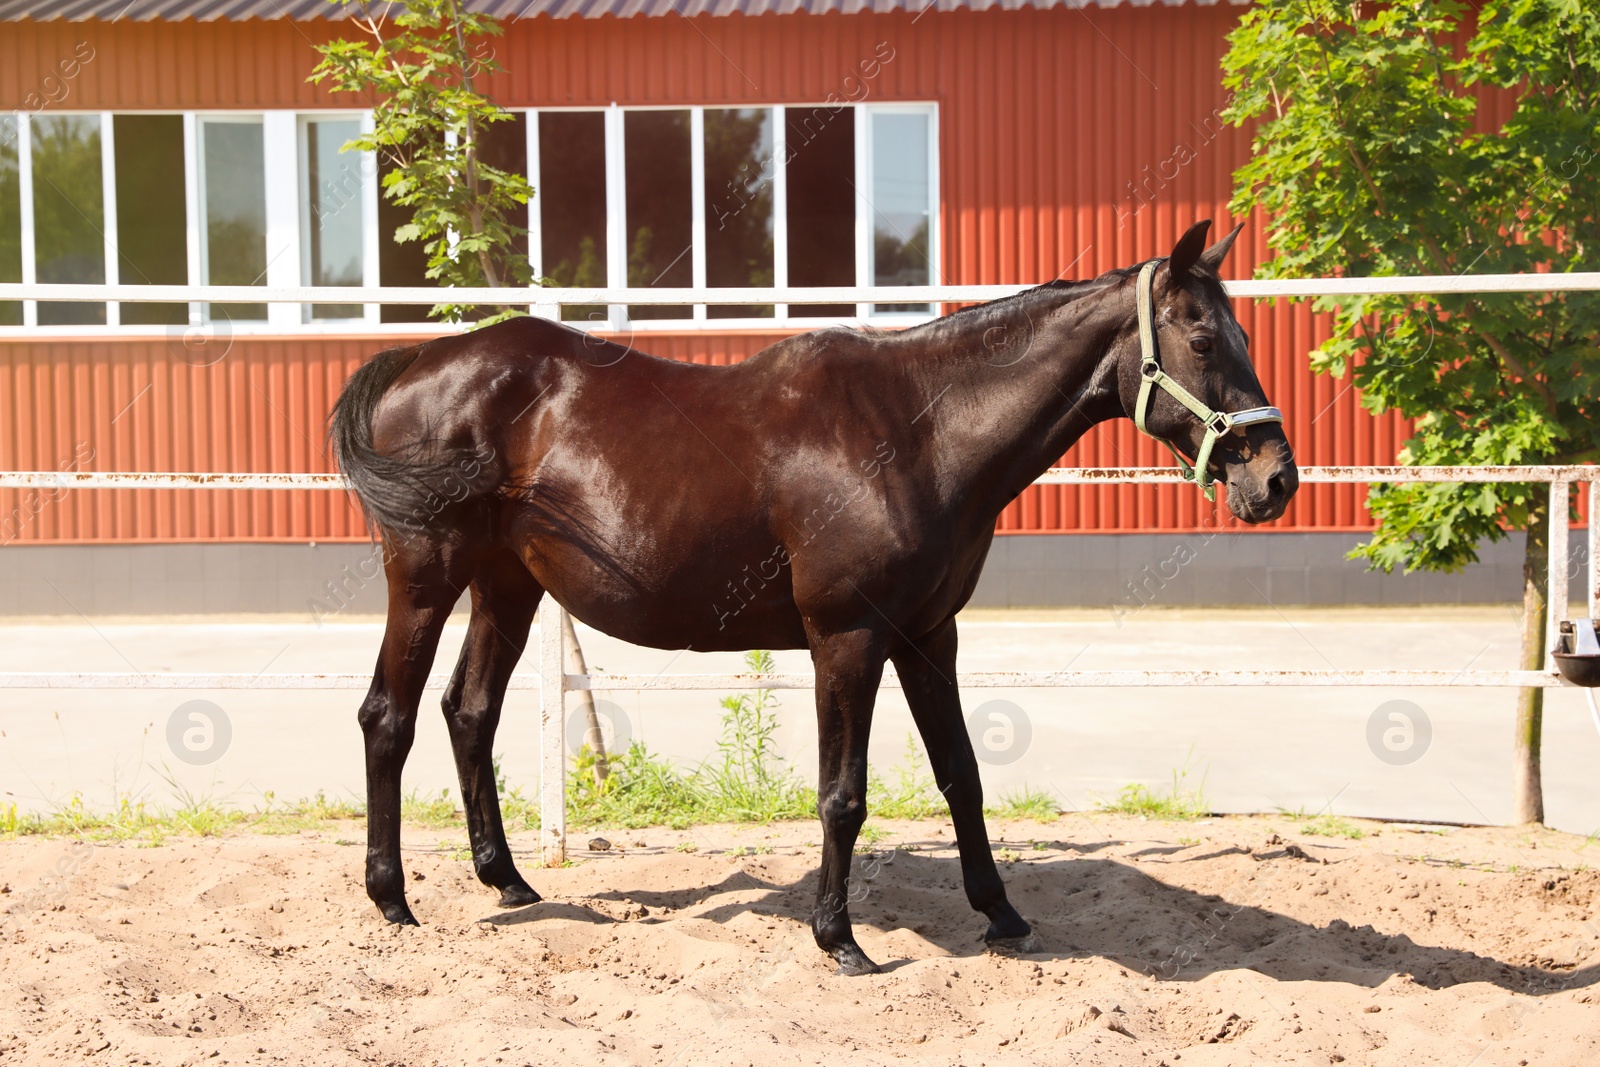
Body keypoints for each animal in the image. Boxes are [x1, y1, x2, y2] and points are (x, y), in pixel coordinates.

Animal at [328, 217, 1299, 979]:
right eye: (1203, 340)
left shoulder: (928, 634)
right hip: (427, 574)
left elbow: (962, 774)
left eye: (1245, 338)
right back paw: (392, 899)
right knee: (388, 716)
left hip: (507, 584)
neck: (917, 429)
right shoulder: (848, 637)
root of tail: (422, 359)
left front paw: (1003, 914)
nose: (1276, 478)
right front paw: (840, 938)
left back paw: (509, 881)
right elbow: (844, 794)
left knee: (469, 710)